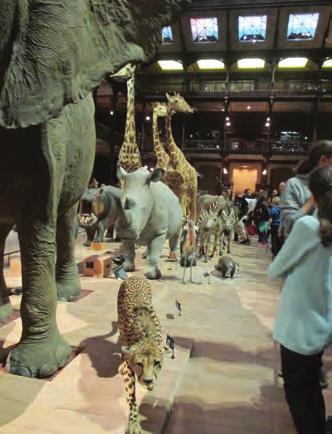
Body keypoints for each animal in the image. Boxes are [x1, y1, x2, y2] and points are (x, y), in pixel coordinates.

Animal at [118, 278, 163, 434]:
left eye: (156, 363)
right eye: (139, 364)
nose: (148, 381)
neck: (146, 335)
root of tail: (135, 276)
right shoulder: (129, 366)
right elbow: (132, 396)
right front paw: (133, 423)